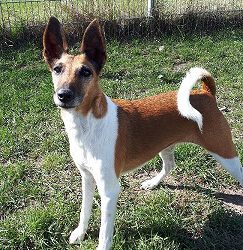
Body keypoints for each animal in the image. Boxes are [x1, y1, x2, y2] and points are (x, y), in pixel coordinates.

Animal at [42, 16, 243, 249]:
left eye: (86, 72)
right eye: (57, 69)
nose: (63, 95)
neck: (87, 124)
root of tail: (206, 93)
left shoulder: (109, 189)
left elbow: (104, 232)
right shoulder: (87, 178)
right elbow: (84, 211)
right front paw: (80, 233)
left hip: (224, 152)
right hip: (165, 145)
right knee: (170, 165)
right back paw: (153, 182)